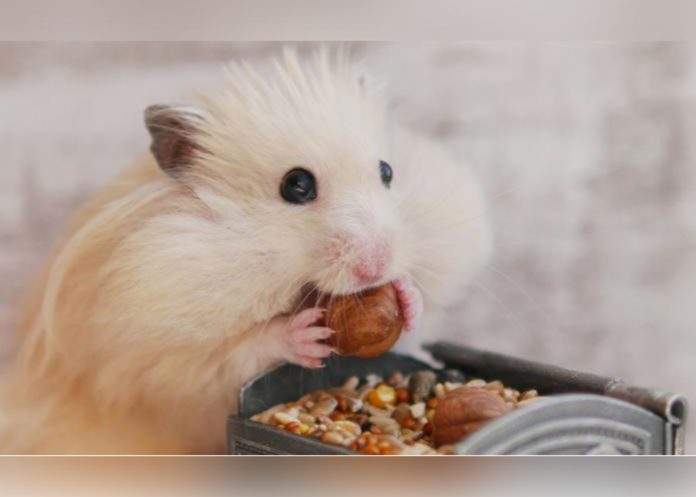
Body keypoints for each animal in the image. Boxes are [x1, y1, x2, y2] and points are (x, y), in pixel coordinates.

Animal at [0, 49, 491, 454]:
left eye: (387, 171)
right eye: (297, 185)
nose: (378, 266)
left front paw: (408, 297)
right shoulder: (155, 360)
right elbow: (234, 354)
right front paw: (304, 334)